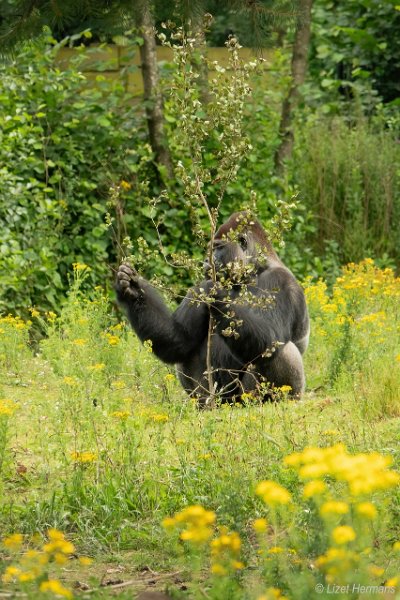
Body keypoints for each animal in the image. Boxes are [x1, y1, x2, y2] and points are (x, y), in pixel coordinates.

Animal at [115, 211, 310, 404]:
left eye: (218, 247)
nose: (205, 260)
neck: (253, 270)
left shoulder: (280, 280)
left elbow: (271, 339)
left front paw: (216, 293)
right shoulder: (198, 288)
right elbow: (178, 338)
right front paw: (133, 289)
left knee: (281, 352)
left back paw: (267, 401)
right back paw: (205, 403)